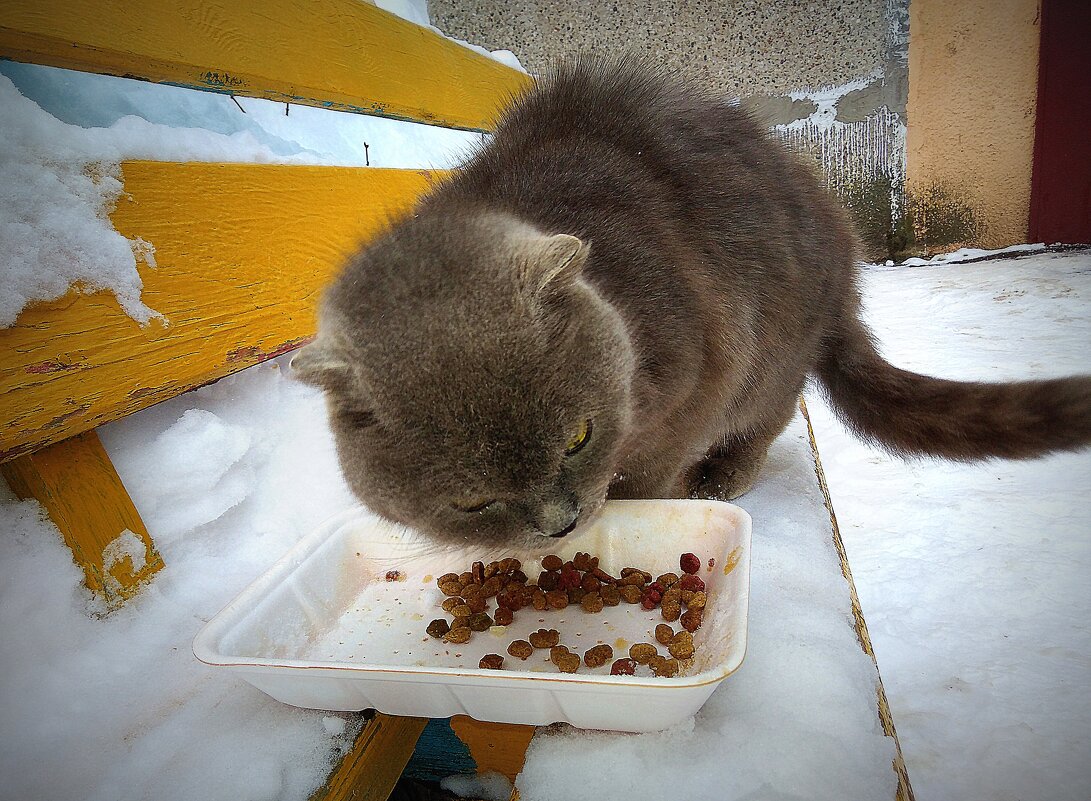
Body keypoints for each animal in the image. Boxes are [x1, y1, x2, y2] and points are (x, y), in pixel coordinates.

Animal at [290, 59, 1091, 550]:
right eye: (470, 502)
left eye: (578, 436)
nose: (559, 523)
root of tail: (844, 259)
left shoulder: (699, 373)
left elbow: (650, 469)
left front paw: (638, 508)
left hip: (774, 349)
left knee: (772, 412)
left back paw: (723, 474)